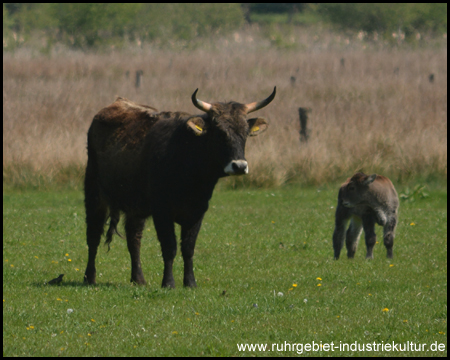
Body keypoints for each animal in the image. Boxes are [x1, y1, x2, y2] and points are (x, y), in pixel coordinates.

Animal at [82, 87, 276, 286]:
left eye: (245, 133)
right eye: (220, 133)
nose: (239, 166)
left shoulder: (197, 212)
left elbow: (188, 248)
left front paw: (190, 282)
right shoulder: (162, 211)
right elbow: (170, 247)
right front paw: (168, 282)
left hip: (136, 206)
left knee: (134, 238)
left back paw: (138, 278)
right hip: (94, 193)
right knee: (93, 235)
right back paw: (89, 277)